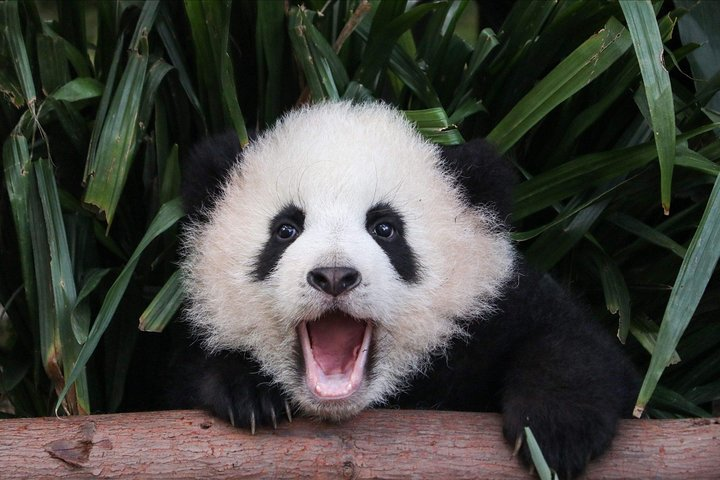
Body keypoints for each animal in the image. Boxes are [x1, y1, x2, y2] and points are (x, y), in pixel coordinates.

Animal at [173, 102, 638, 478]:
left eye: (385, 229)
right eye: (285, 230)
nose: (334, 276)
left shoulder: (494, 307)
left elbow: (573, 342)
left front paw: (555, 431)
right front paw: (249, 392)